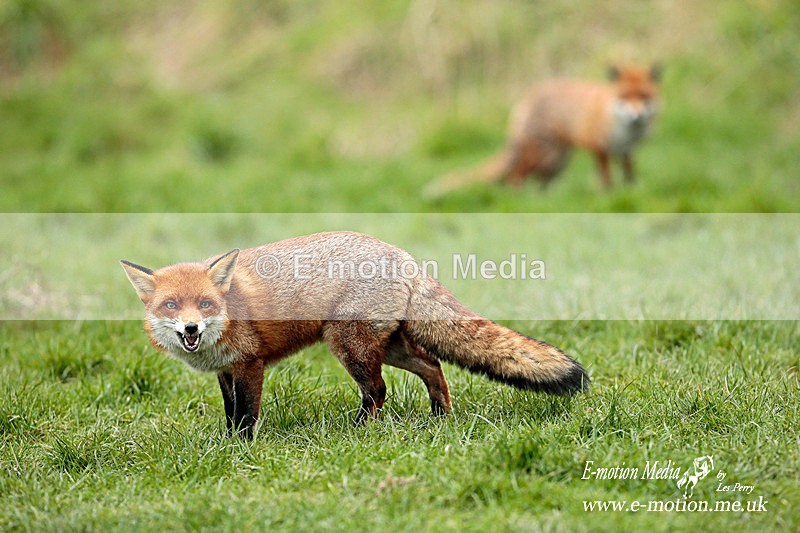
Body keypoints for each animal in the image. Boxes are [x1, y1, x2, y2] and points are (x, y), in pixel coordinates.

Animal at [121, 231, 588, 439]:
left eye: (204, 304)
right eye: (170, 306)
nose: (191, 328)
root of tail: (402, 254)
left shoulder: (250, 364)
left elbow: (247, 415)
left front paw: (243, 449)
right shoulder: (226, 371)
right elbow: (230, 412)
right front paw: (227, 444)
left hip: (352, 349)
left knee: (378, 391)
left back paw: (359, 431)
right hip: (390, 346)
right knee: (432, 366)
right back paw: (439, 417)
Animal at [426, 64, 661, 196]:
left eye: (644, 96)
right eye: (625, 96)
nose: (636, 115)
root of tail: (525, 100)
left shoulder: (627, 150)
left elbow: (629, 174)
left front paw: (632, 189)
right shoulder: (598, 146)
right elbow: (606, 178)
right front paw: (608, 194)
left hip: (556, 163)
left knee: (538, 182)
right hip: (544, 156)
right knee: (514, 178)